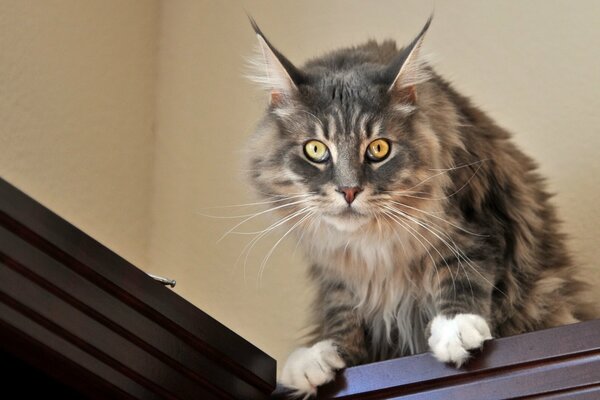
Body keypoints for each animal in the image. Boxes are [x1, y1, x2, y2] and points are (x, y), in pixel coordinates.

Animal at [244, 16, 592, 396]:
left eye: (379, 148)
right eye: (316, 150)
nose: (349, 190)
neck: (372, 243)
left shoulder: (474, 225)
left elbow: (463, 273)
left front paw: (455, 327)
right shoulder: (335, 269)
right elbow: (343, 312)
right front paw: (324, 355)